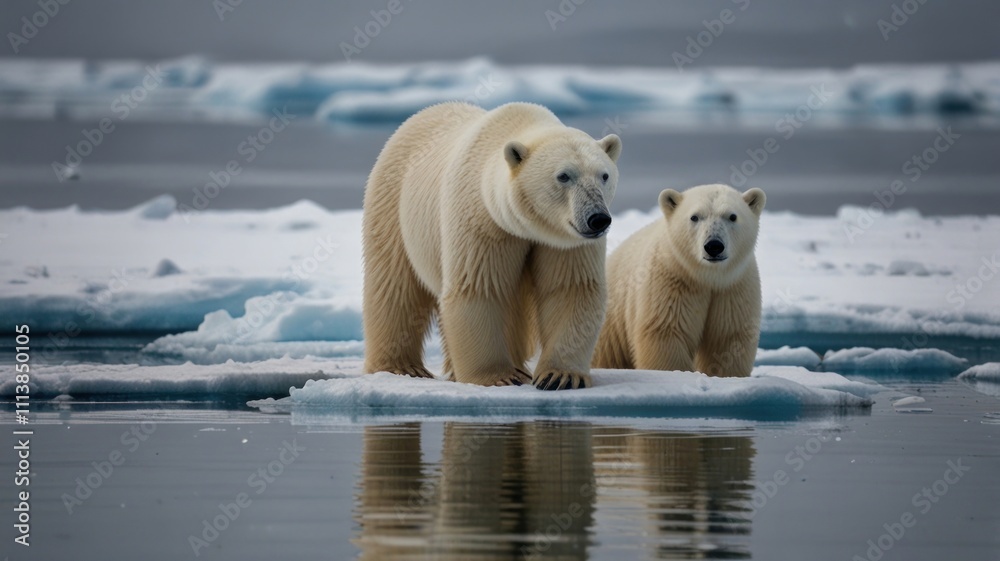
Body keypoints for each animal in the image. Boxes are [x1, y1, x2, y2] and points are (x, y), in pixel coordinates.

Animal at [362, 102, 622, 390]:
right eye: (564, 176)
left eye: (604, 175)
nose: (598, 218)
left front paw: (559, 376)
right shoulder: (483, 222)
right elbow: (479, 287)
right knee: (395, 286)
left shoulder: (563, 241)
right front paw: (498, 377)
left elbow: (570, 288)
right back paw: (402, 367)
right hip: (393, 203)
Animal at [592, 183, 765, 377]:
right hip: (610, 325)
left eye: (732, 216)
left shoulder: (733, 288)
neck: (706, 277)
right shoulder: (671, 282)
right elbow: (667, 331)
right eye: (694, 216)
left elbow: (727, 339)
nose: (714, 245)